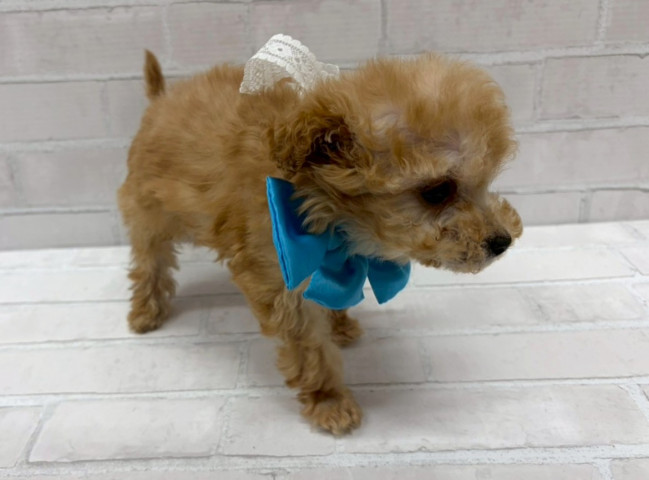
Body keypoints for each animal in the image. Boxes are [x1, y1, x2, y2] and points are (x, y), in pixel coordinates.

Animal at [118, 49, 522, 435]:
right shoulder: (281, 280)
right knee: (149, 261)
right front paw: (329, 402)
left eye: (486, 182)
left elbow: (333, 294)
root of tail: (162, 99)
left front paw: (339, 326)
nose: (502, 241)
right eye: (437, 192)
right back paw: (145, 312)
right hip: (148, 212)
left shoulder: (334, 263)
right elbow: (310, 349)